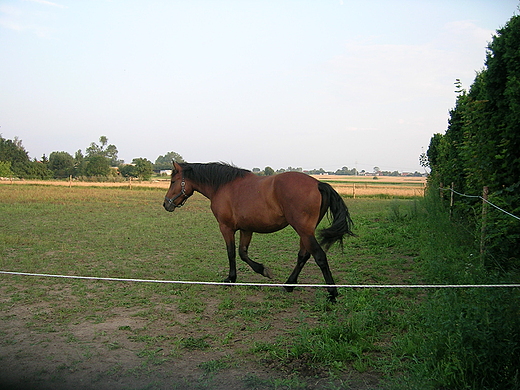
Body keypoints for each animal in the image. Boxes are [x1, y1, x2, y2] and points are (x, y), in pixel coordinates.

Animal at [165, 160, 356, 300]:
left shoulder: (226, 228)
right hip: (305, 232)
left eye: (173, 181)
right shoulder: (246, 229)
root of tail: (318, 184)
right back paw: (289, 285)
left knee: (319, 256)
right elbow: (242, 253)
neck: (223, 186)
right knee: (303, 256)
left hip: (304, 231)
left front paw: (231, 278)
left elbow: (231, 253)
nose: (166, 204)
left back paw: (332, 293)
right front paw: (262, 270)